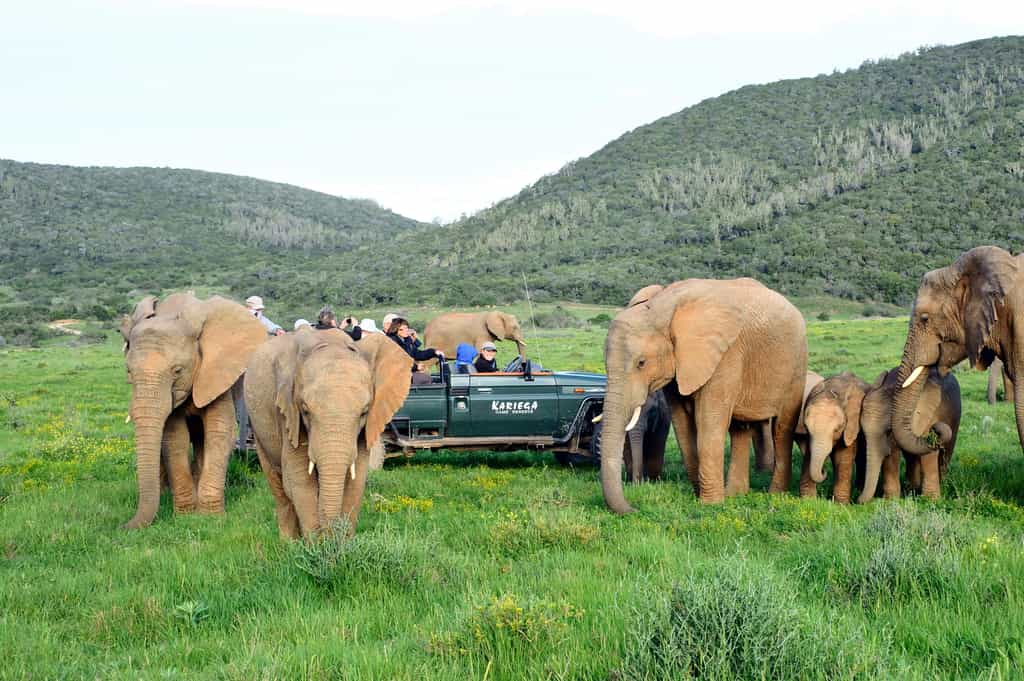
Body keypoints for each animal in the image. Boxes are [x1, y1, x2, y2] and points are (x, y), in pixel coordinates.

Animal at [119, 293, 267, 529]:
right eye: (129, 372)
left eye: (177, 371)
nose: (122, 527)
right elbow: (174, 438)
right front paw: (185, 516)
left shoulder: (217, 372)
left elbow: (219, 432)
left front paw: (209, 518)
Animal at [244, 327, 413, 538]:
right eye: (305, 410)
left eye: (364, 412)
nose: (331, 535)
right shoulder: (289, 414)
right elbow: (300, 479)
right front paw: (317, 544)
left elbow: (356, 481)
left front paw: (342, 544)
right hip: (257, 428)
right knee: (279, 488)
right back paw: (289, 542)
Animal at [601, 278, 807, 511]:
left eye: (641, 363)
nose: (635, 508)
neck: (662, 307)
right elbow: (682, 425)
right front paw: (701, 496)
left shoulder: (725, 355)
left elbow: (709, 423)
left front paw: (710, 505)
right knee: (740, 429)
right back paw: (735, 494)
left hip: (796, 363)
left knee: (782, 428)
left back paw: (775, 495)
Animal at [795, 372, 867, 503]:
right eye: (806, 427)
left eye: (837, 429)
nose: (824, 471)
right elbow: (809, 454)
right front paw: (808, 501)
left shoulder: (851, 425)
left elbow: (843, 455)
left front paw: (840, 504)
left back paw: (858, 489)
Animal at [858, 367, 960, 503]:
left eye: (889, 430)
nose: (857, 500)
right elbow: (892, 454)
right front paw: (891, 500)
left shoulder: (930, 415)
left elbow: (928, 454)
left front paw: (930, 500)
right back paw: (912, 489)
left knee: (946, 453)